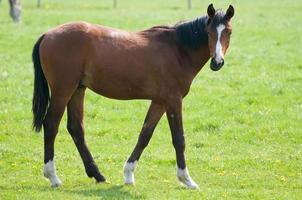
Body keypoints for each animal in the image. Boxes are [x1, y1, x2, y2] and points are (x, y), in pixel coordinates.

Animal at [31, 4, 234, 189]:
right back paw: (53, 177)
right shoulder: (173, 100)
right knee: (51, 126)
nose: (217, 62)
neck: (178, 50)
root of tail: (47, 35)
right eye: (209, 32)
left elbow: (145, 135)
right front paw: (186, 179)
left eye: (229, 32)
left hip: (77, 90)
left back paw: (97, 174)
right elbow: (179, 139)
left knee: (76, 128)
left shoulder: (159, 102)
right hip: (63, 91)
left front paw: (128, 174)